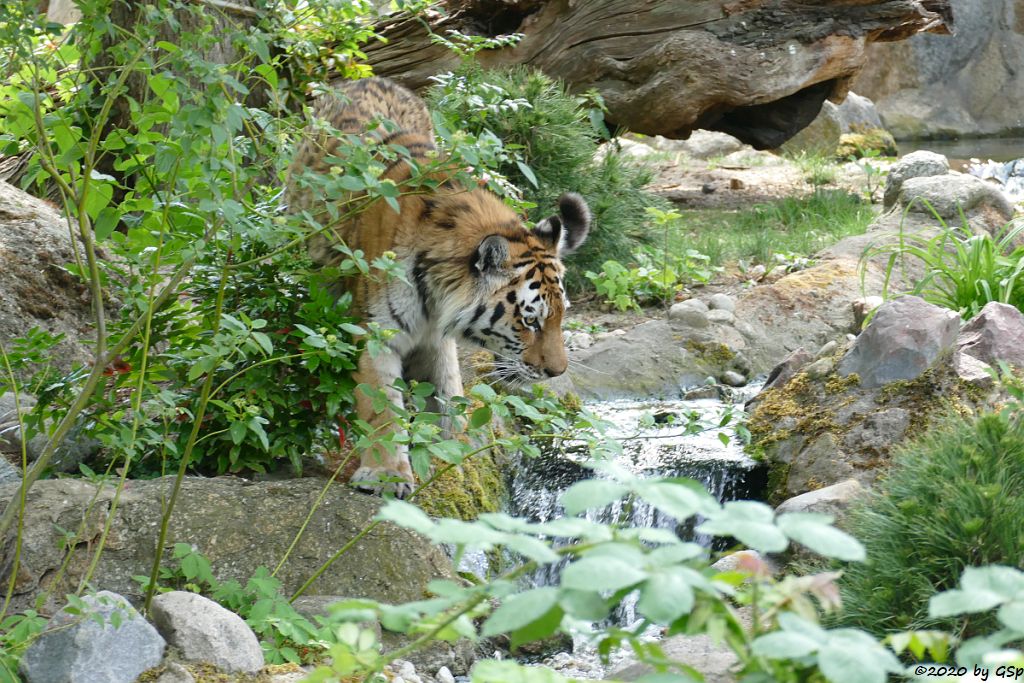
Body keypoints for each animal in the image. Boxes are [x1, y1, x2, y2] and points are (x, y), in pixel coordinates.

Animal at [286, 77, 593, 497]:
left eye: (562, 317)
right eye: (530, 321)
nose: (557, 372)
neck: (435, 294)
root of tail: (365, 77)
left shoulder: (437, 339)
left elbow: (450, 393)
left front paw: (457, 452)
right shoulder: (377, 336)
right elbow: (382, 407)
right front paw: (386, 475)